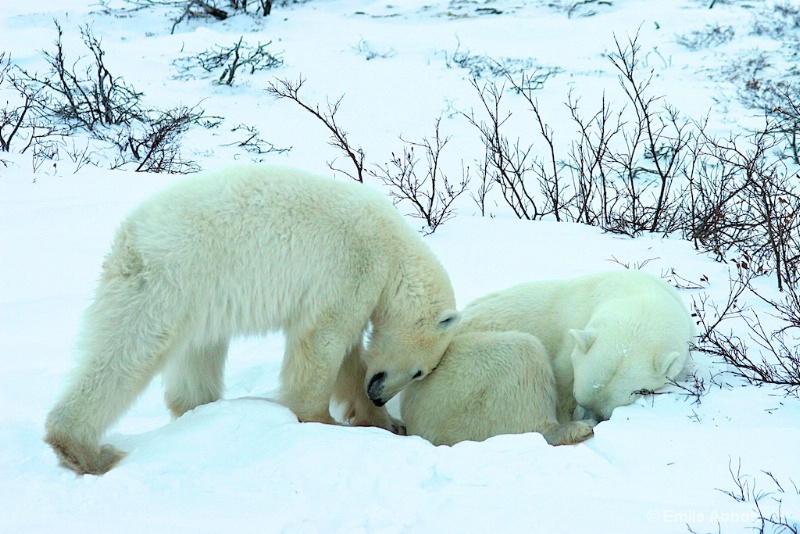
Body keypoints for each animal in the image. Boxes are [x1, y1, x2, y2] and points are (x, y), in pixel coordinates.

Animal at [45, 164, 456, 478]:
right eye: (420, 372)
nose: (380, 394)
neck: (394, 250)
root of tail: (130, 237)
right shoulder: (352, 267)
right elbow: (321, 340)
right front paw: (322, 423)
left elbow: (350, 358)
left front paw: (386, 422)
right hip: (171, 278)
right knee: (128, 349)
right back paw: (84, 449)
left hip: (200, 295)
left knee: (197, 353)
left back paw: (199, 409)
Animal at [400, 272, 692, 448]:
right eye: (580, 396)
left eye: (607, 412)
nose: (595, 419)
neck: (636, 294)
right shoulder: (568, 342)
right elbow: (560, 378)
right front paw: (571, 417)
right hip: (456, 382)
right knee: (521, 356)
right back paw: (575, 429)